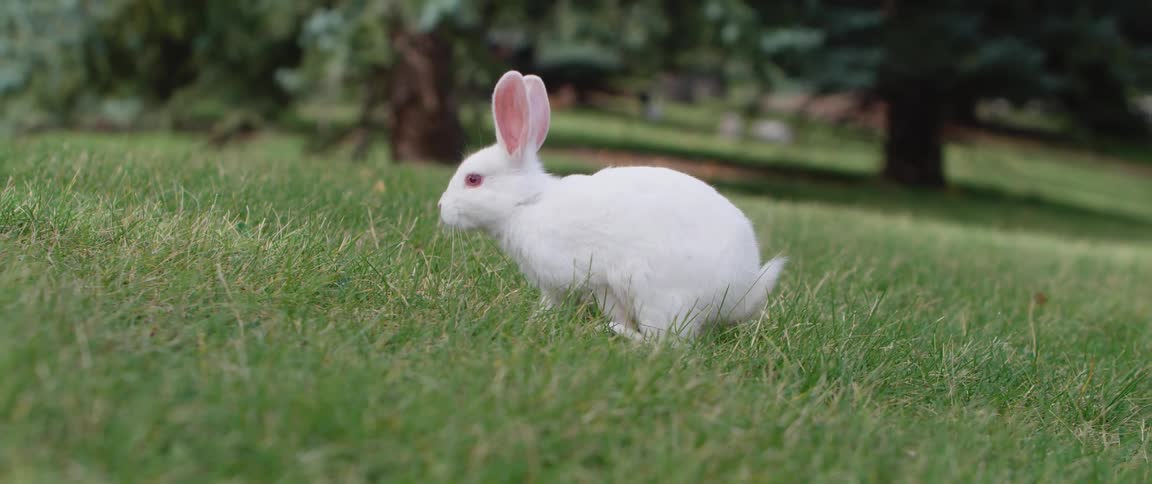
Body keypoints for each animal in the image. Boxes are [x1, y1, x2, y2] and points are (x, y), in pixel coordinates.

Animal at [438, 70, 786, 342]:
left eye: (473, 179)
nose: (441, 207)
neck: (526, 203)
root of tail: (741, 289)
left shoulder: (592, 279)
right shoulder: (556, 285)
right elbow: (550, 304)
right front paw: (537, 319)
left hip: (659, 296)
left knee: (666, 343)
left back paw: (619, 333)